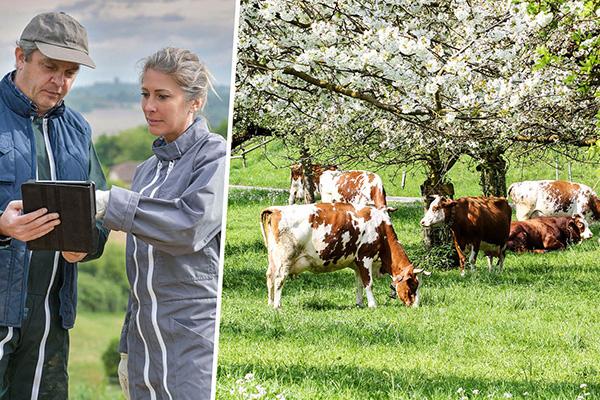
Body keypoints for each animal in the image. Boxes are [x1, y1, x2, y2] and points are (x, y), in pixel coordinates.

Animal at [260, 203, 428, 310]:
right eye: (413, 284)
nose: (415, 306)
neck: (381, 228)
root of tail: (275, 209)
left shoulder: (356, 263)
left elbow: (359, 283)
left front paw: (360, 304)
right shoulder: (365, 258)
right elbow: (369, 283)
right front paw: (372, 305)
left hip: (273, 259)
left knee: (269, 277)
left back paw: (270, 302)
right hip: (285, 259)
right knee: (279, 279)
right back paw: (277, 305)